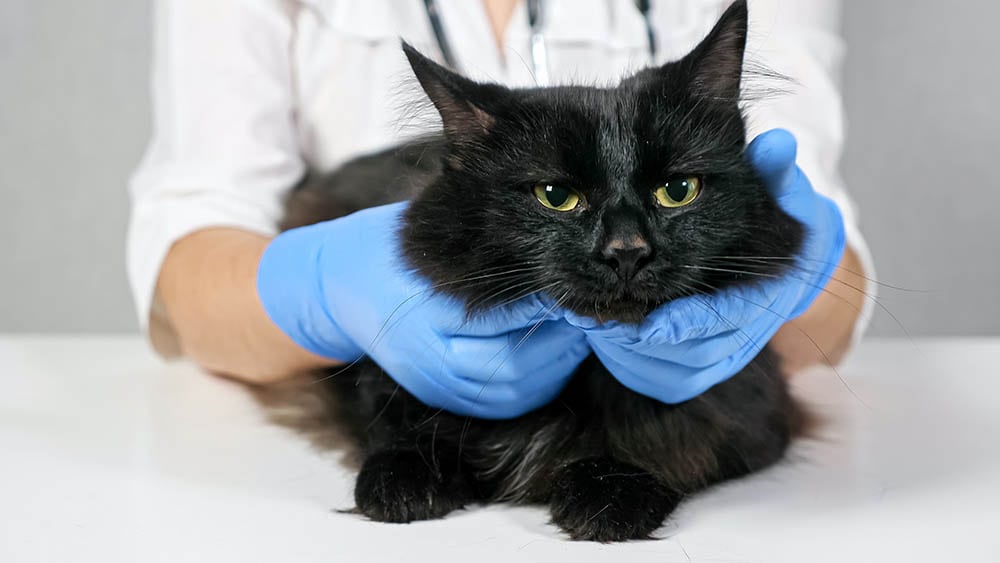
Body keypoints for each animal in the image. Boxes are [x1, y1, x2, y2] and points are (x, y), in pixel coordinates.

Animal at [278, 2, 808, 544]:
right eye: (555, 196)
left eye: (678, 190)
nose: (627, 251)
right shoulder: (383, 376)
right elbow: (396, 424)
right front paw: (403, 480)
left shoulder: (752, 410)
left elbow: (676, 445)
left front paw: (610, 492)